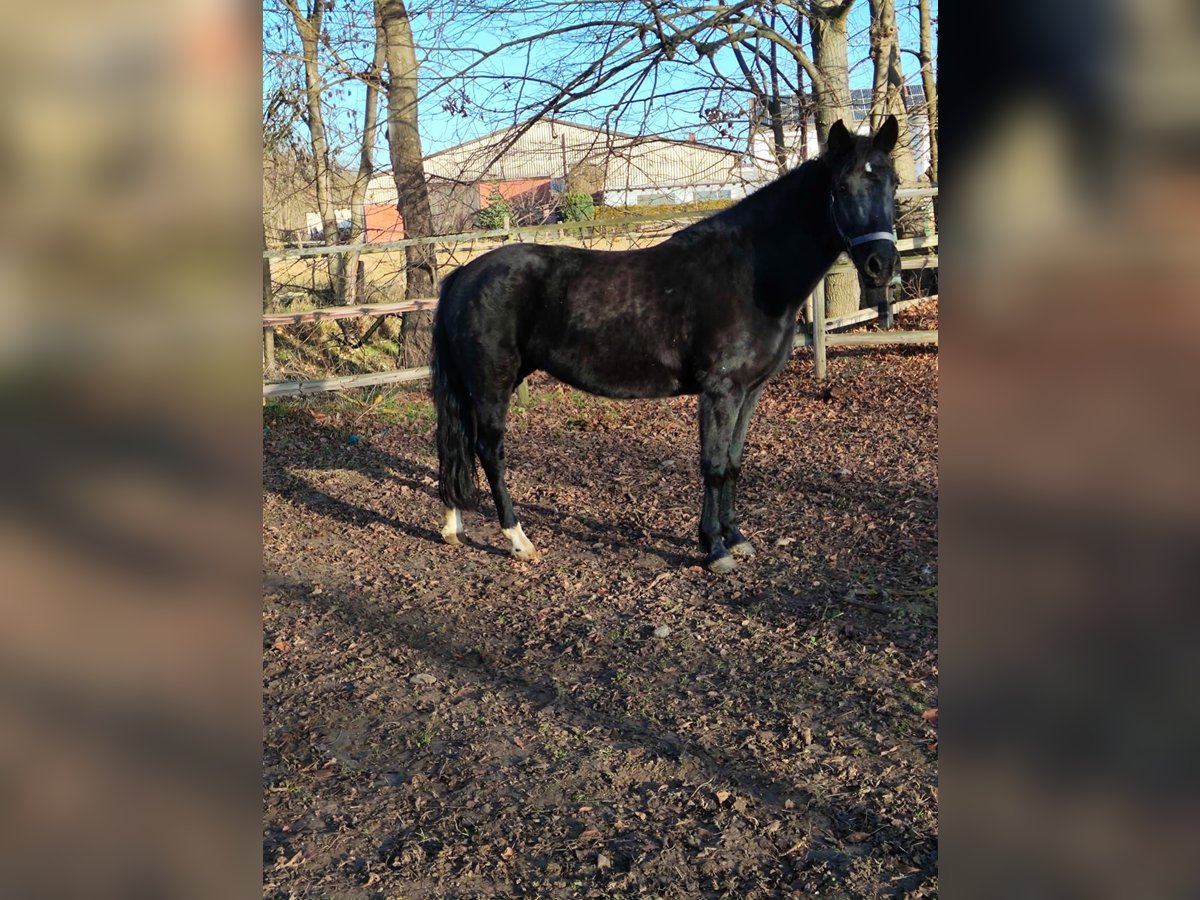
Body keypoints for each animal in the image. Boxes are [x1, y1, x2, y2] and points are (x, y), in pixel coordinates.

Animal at [430, 116, 901, 574]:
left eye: (892, 184)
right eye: (842, 187)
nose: (882, 265)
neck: (750, 274)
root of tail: (462, 275)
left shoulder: (749, 392)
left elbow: (734, 463)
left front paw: (736, 537)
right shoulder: (720, 392)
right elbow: (713, 465)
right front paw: (715, 548)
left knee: (455, 442)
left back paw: (453, 525)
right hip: (492, 382)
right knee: (488, 450)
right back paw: (519, 540)